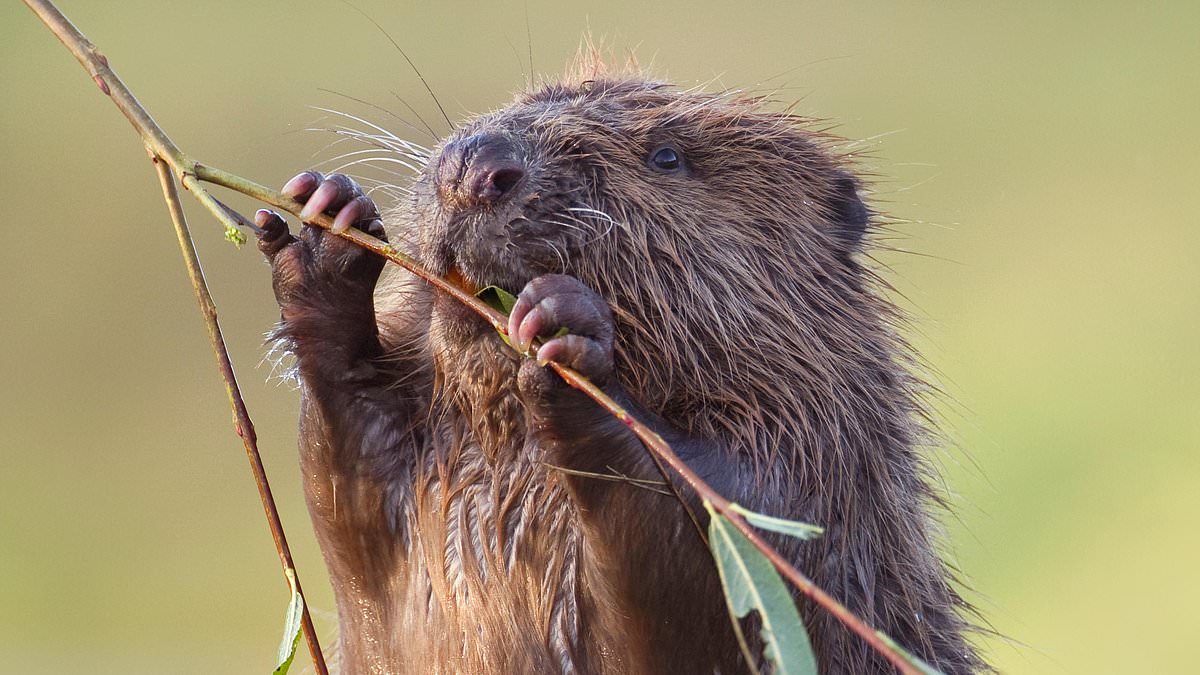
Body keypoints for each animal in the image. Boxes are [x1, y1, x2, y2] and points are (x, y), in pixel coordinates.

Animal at [253, 53, 984, 672]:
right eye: (533, 98)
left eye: (667, 156)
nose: (476, 166)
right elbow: (347, 482)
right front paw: (326, 226)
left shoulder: (813, 488)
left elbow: (703, 560)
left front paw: (564, 325)